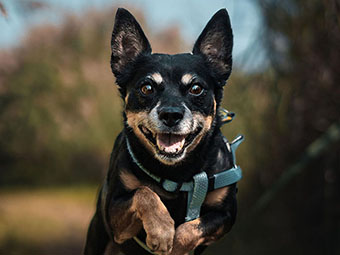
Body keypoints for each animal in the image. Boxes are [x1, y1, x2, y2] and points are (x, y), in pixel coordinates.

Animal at [85, 7, 244, 255]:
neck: (177, 175)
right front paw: (162, 230)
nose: (171, 115)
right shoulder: (114, 215)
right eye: (146, 87)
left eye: (196, 88)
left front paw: (175, 245)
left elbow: (191, 228)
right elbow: (144, 193)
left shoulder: (225, 215)